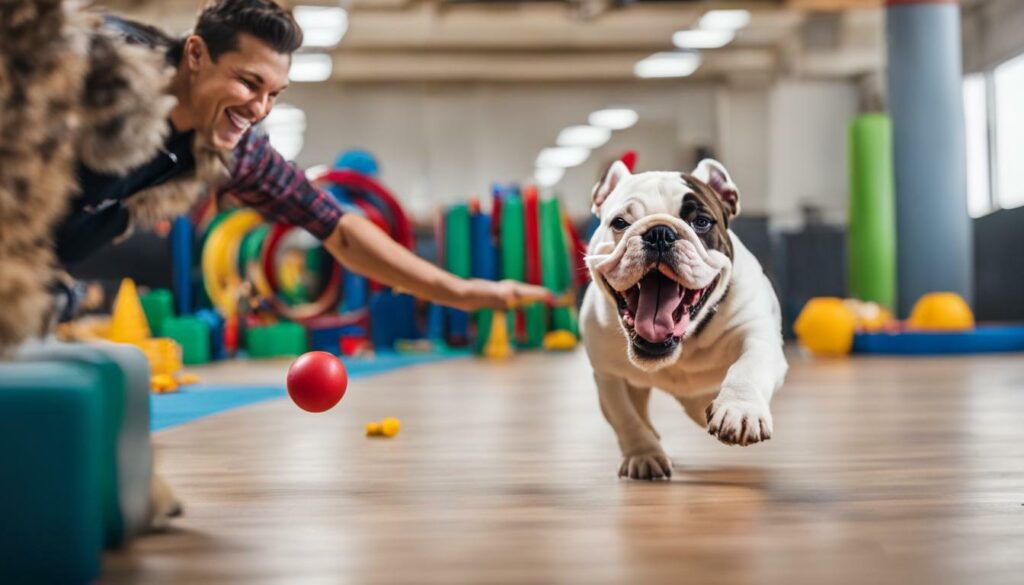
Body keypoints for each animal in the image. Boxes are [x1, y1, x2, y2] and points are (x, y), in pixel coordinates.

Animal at [581, 159, 786, 481]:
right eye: (620, 223)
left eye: (701, 222)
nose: (660, 232)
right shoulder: (608, 375)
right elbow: (625, 416)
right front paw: (644, 454)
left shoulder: (757, 335)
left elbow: (748, 367)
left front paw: (740, 410)